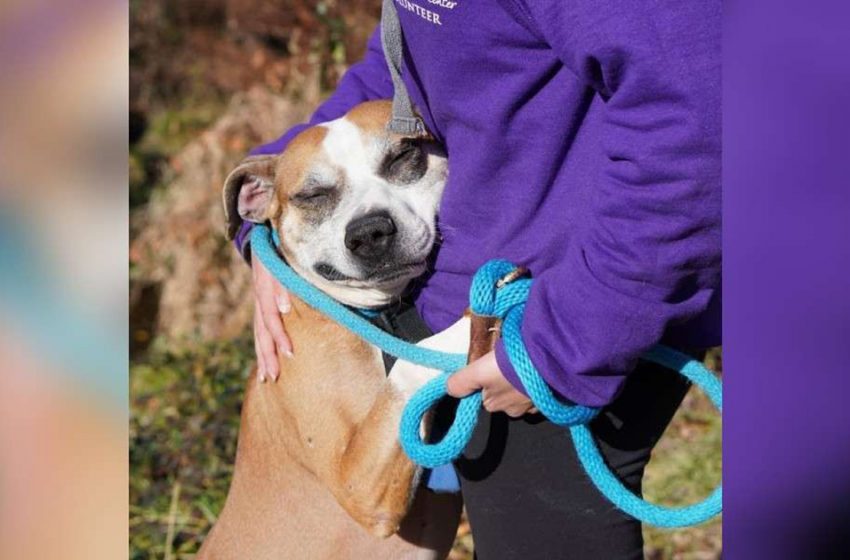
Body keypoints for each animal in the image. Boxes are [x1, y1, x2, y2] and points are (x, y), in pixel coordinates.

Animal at [197, 101, 484, 560]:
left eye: (403, 157)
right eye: (312, 196)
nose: (369, 232)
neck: (374, 316)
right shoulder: (358, 484)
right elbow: (412, 362)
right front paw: (480, 316)